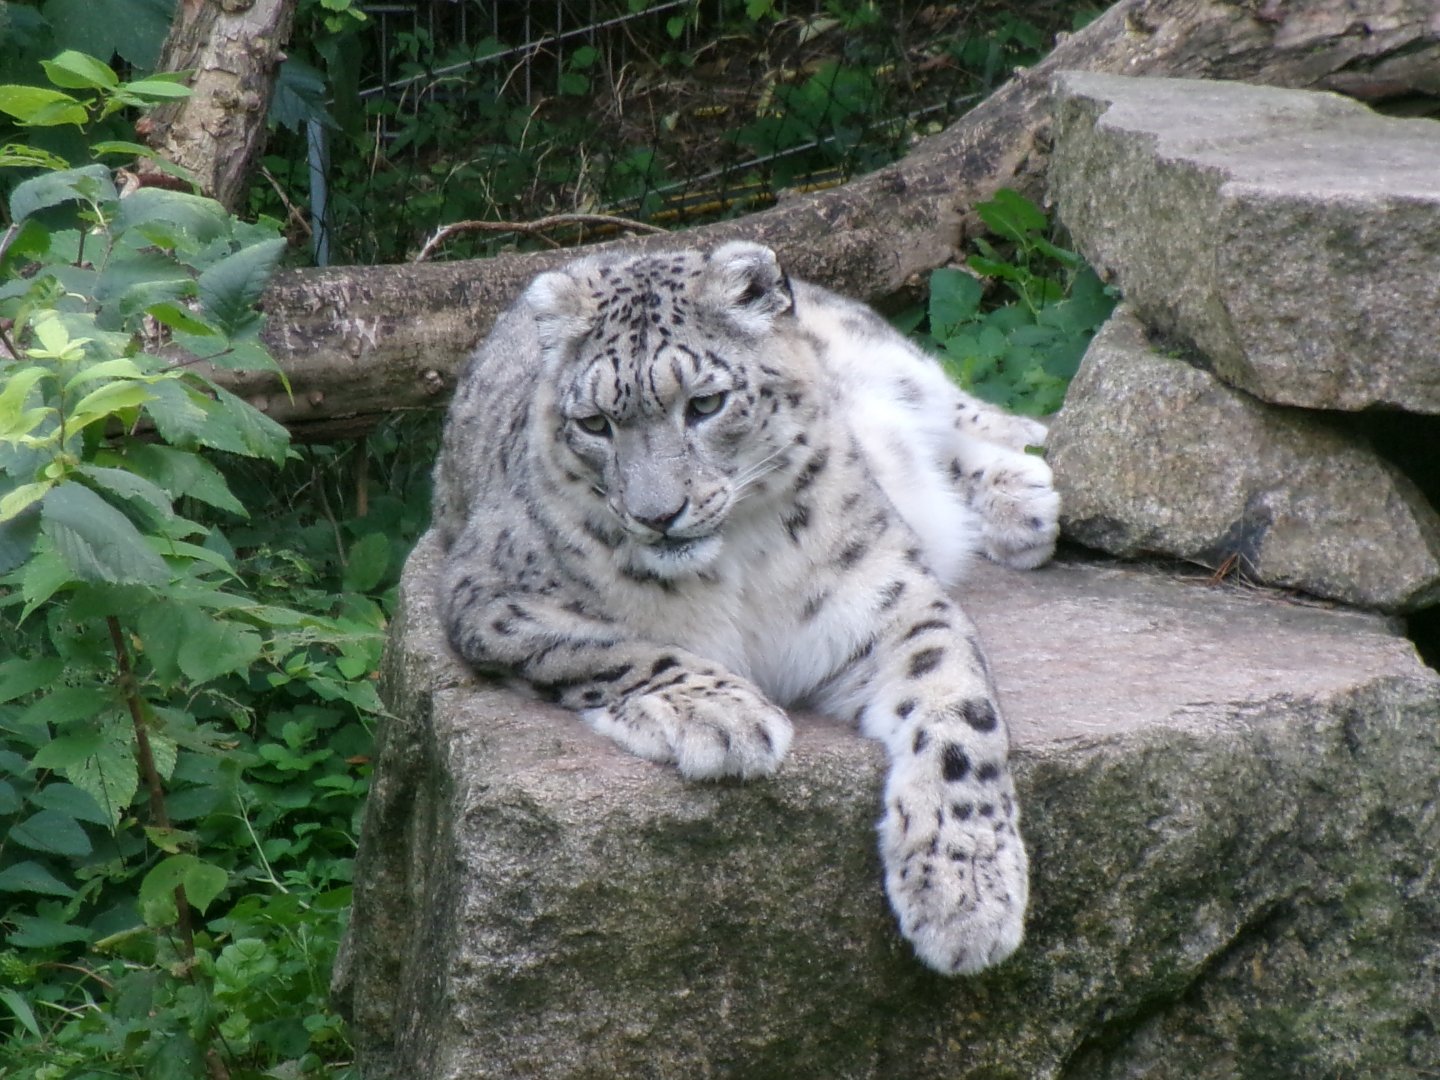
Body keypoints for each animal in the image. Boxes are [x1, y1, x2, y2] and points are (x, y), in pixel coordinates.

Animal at [431, 241, 1059, 975]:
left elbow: (961, 717)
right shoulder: (492, 598)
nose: (657, 514)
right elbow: (611, 648)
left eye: (705, 403)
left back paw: (1028, 485)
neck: (732, 570)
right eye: (593, 424)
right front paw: (723, 716)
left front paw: (966, 897)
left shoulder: (891, 600)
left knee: (956, 406)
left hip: (889, 362)